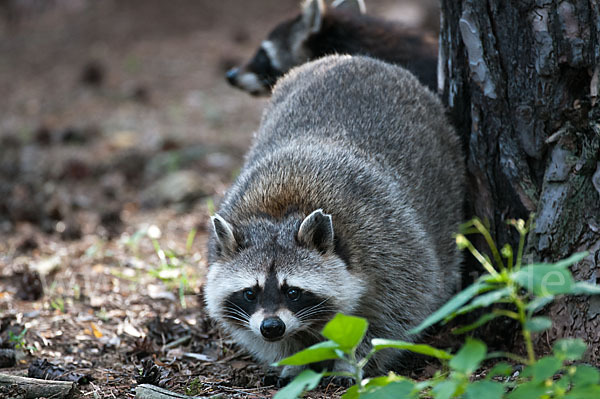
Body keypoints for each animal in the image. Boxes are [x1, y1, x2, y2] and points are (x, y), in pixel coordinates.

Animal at [205, 55, 464, 378]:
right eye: (250, 293)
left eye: (293, 292)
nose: (272, 327)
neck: (281, 211)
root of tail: (355, 58)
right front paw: (292, 360)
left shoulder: (391, 248)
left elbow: (396, 318)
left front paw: (354, 361)